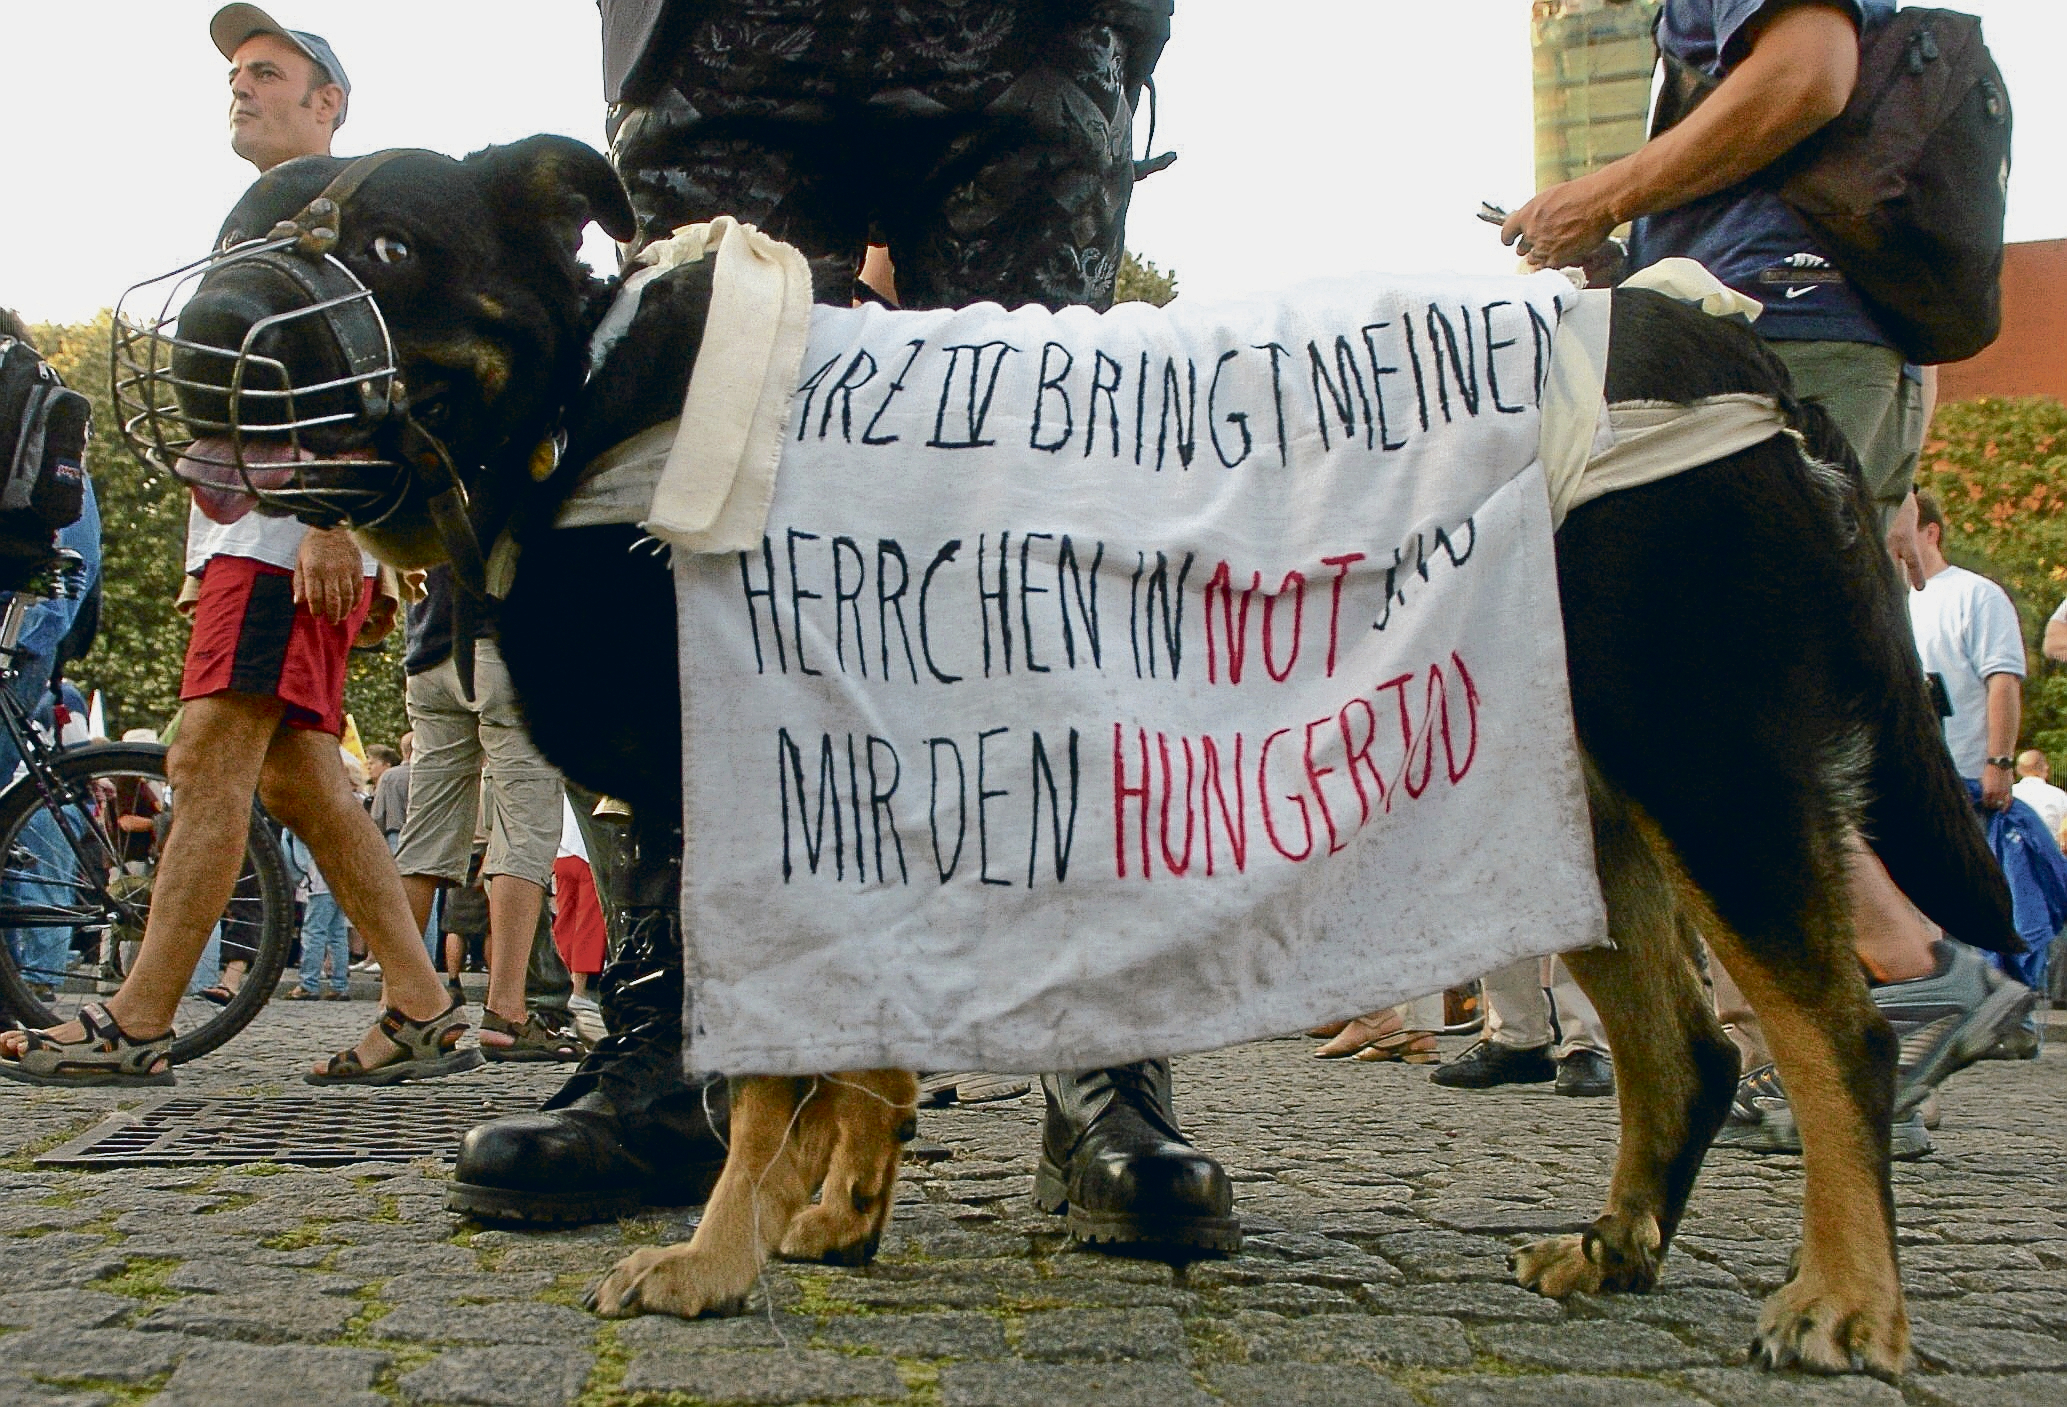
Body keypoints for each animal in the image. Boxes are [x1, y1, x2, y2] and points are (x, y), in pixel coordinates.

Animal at [165, 142, 2017, 1371]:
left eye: (386, 244)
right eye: (241, 232)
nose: (207, 334)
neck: (588, 408)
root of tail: (1730, 344)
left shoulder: (746, 815)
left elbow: (769, 1072)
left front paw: (713, 1253)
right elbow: (863, 1058)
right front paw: (837, 1214)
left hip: (1708, 770)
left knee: (1832, 1033)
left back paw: (1848, 1298)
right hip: (1576, 804)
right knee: (1681, 1052)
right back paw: (1619, 1249)